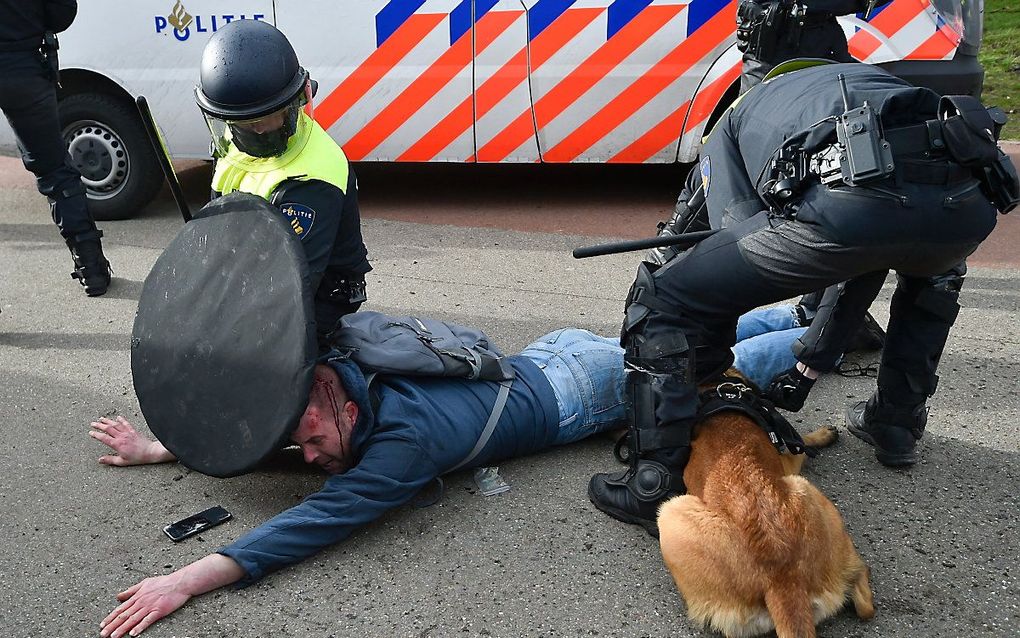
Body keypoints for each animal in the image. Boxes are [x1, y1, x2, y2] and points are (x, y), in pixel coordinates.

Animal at [656, 383, 873, 636]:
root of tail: (782, 579)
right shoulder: (789, 461)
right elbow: (800, 446)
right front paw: (821, 436)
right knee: (864, 600)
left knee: (865, 605)